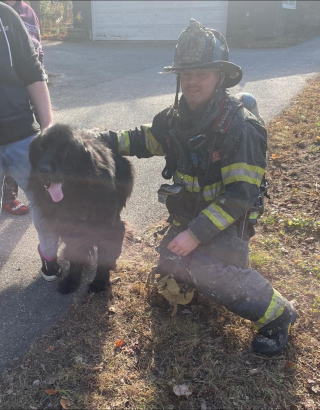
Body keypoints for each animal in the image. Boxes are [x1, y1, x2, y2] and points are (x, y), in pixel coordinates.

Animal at [27, 123, 132, 294]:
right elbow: (75, 255)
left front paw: (100, 282)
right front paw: (72, 281)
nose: (42, 170)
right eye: (41, 149)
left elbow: (105, 256)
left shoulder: (110, 227)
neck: (76, 197)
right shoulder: (70, 230)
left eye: (64, 152)